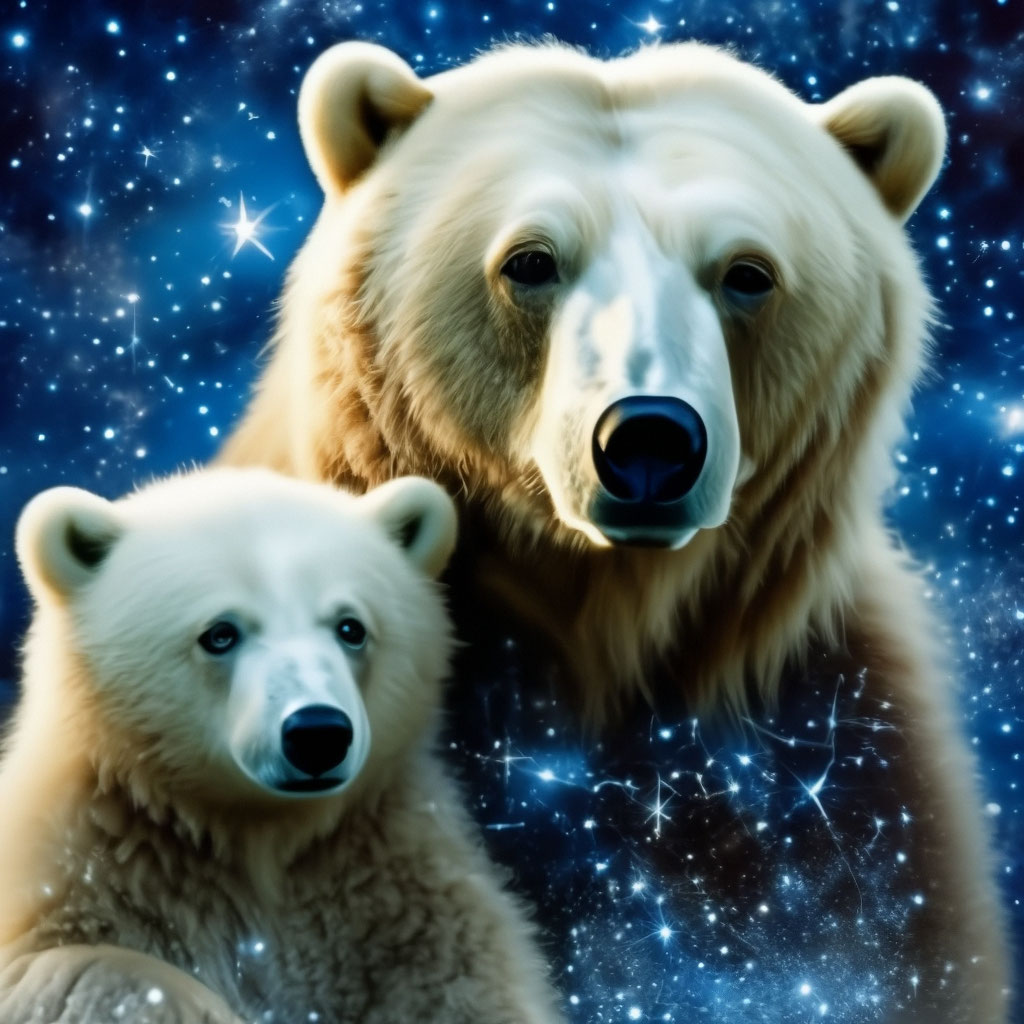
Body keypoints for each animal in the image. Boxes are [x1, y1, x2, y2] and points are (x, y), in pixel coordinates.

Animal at [0, 468, 564, 1024]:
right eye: (220, 634)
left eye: (351, 627)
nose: (318, 734)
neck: (256, 838)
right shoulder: (81, 877)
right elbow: (94, 972)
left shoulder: (396, 903)